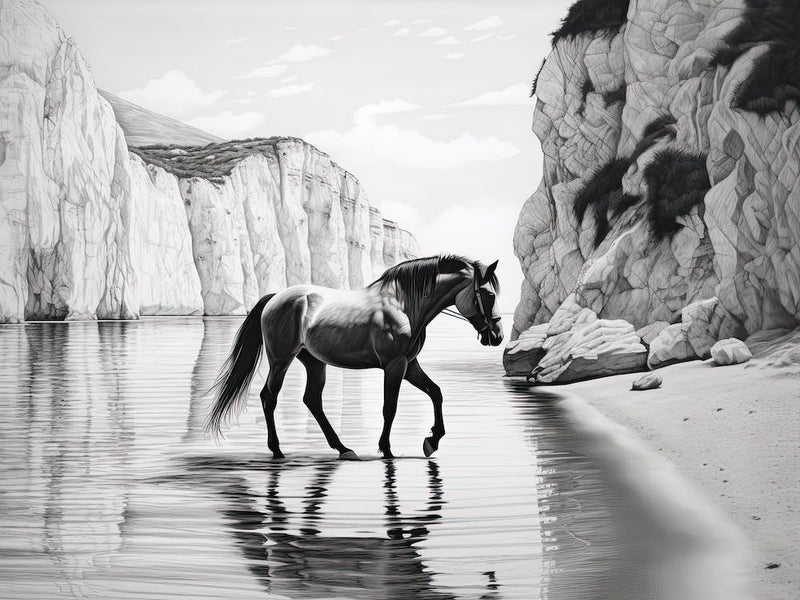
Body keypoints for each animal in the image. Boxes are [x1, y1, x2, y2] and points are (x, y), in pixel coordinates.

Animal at [206, 254, 503, 460]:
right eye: (488, 294)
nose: (497, 335)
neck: (404, 305)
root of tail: (276, 297)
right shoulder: (394, 366)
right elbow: (390, 407)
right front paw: (387, 450)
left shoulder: (409, 365)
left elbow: (436, 392)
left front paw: (432, 441)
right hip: (281, 360)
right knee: (269, 397)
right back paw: (278, 451)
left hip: (314, 362)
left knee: (312, 400)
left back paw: (343, 448)